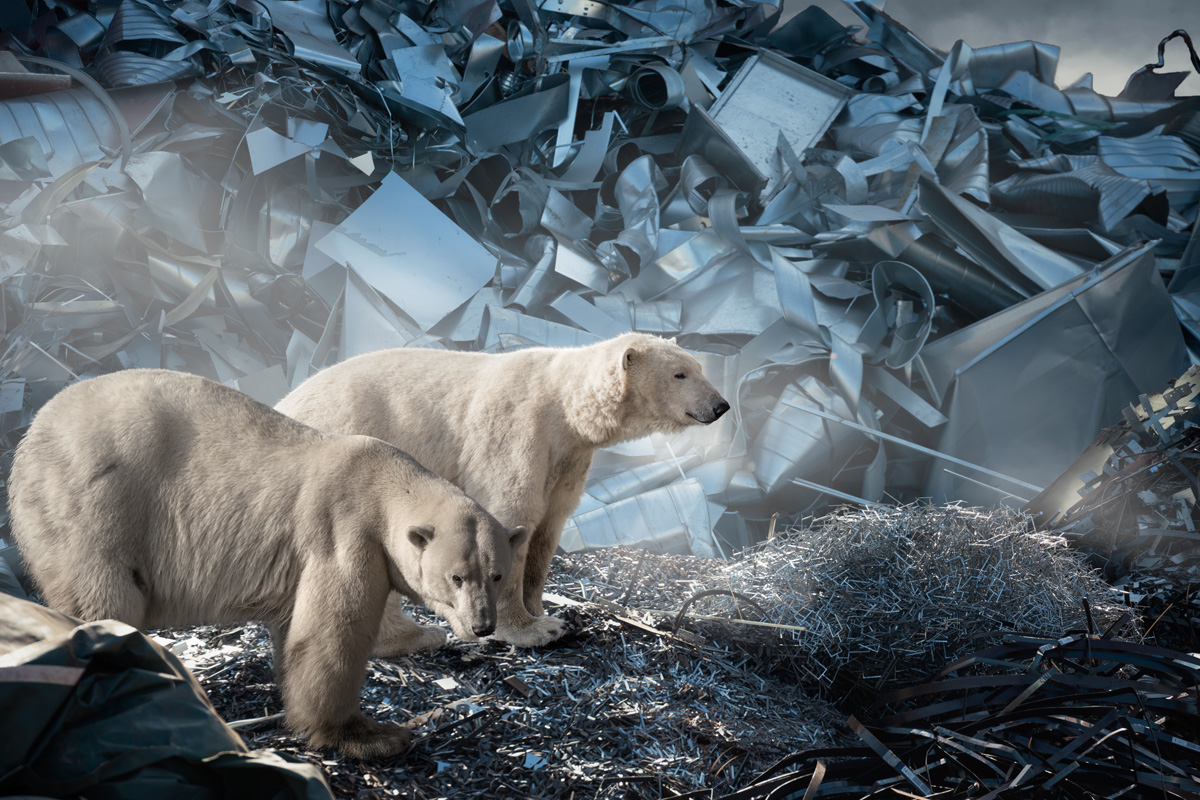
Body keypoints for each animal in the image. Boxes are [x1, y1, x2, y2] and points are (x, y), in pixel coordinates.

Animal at [8, 369, 525, 758]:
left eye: (497, 575)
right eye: (456, 577)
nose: (483, 625)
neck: (382, 483)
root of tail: (30, 437)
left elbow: (294, 628)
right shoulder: (344, 533)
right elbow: (329, 637)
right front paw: (372, 735)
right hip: (96, 510)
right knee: (104, 604)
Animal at [278, 331, 729, 652]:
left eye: (698, 366)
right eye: (680, 374)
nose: (721, 405)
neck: (565, 407)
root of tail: (286, 401)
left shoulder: (567, 458)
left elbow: (549, 526)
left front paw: (544, 610)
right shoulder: (519, 431)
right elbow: (512, 513)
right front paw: (532, 630)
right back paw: (409, 636)